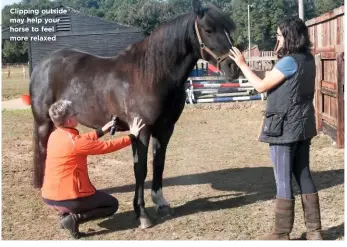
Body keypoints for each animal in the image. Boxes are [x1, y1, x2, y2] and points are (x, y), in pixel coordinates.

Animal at [30, 0, 239, 229]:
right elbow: (141, 169)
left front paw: (161, 204)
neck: (151, 75)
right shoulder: (141, 130)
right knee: (43, 150)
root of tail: (42, 65)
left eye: (229, 29)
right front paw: (142, 214)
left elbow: (158, 164)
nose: (234, 67)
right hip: (43, 122)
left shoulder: (165, 129)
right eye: (208, 30)